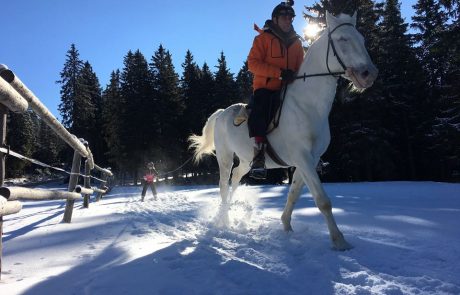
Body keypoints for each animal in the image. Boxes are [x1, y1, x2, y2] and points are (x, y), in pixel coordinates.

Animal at [190, 12, 378, 252]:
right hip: (224, 157)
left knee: (235, 180)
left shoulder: (307, 160)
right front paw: (339, 241)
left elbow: (293, 195)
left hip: (246, 161)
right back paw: (224, 219)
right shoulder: (302, 158)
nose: (369, 74)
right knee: (223, 186)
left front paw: (287, 226)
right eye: (343, 39)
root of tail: (223, 112)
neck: (307, 105)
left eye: (362, 40)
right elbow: (323, 201)